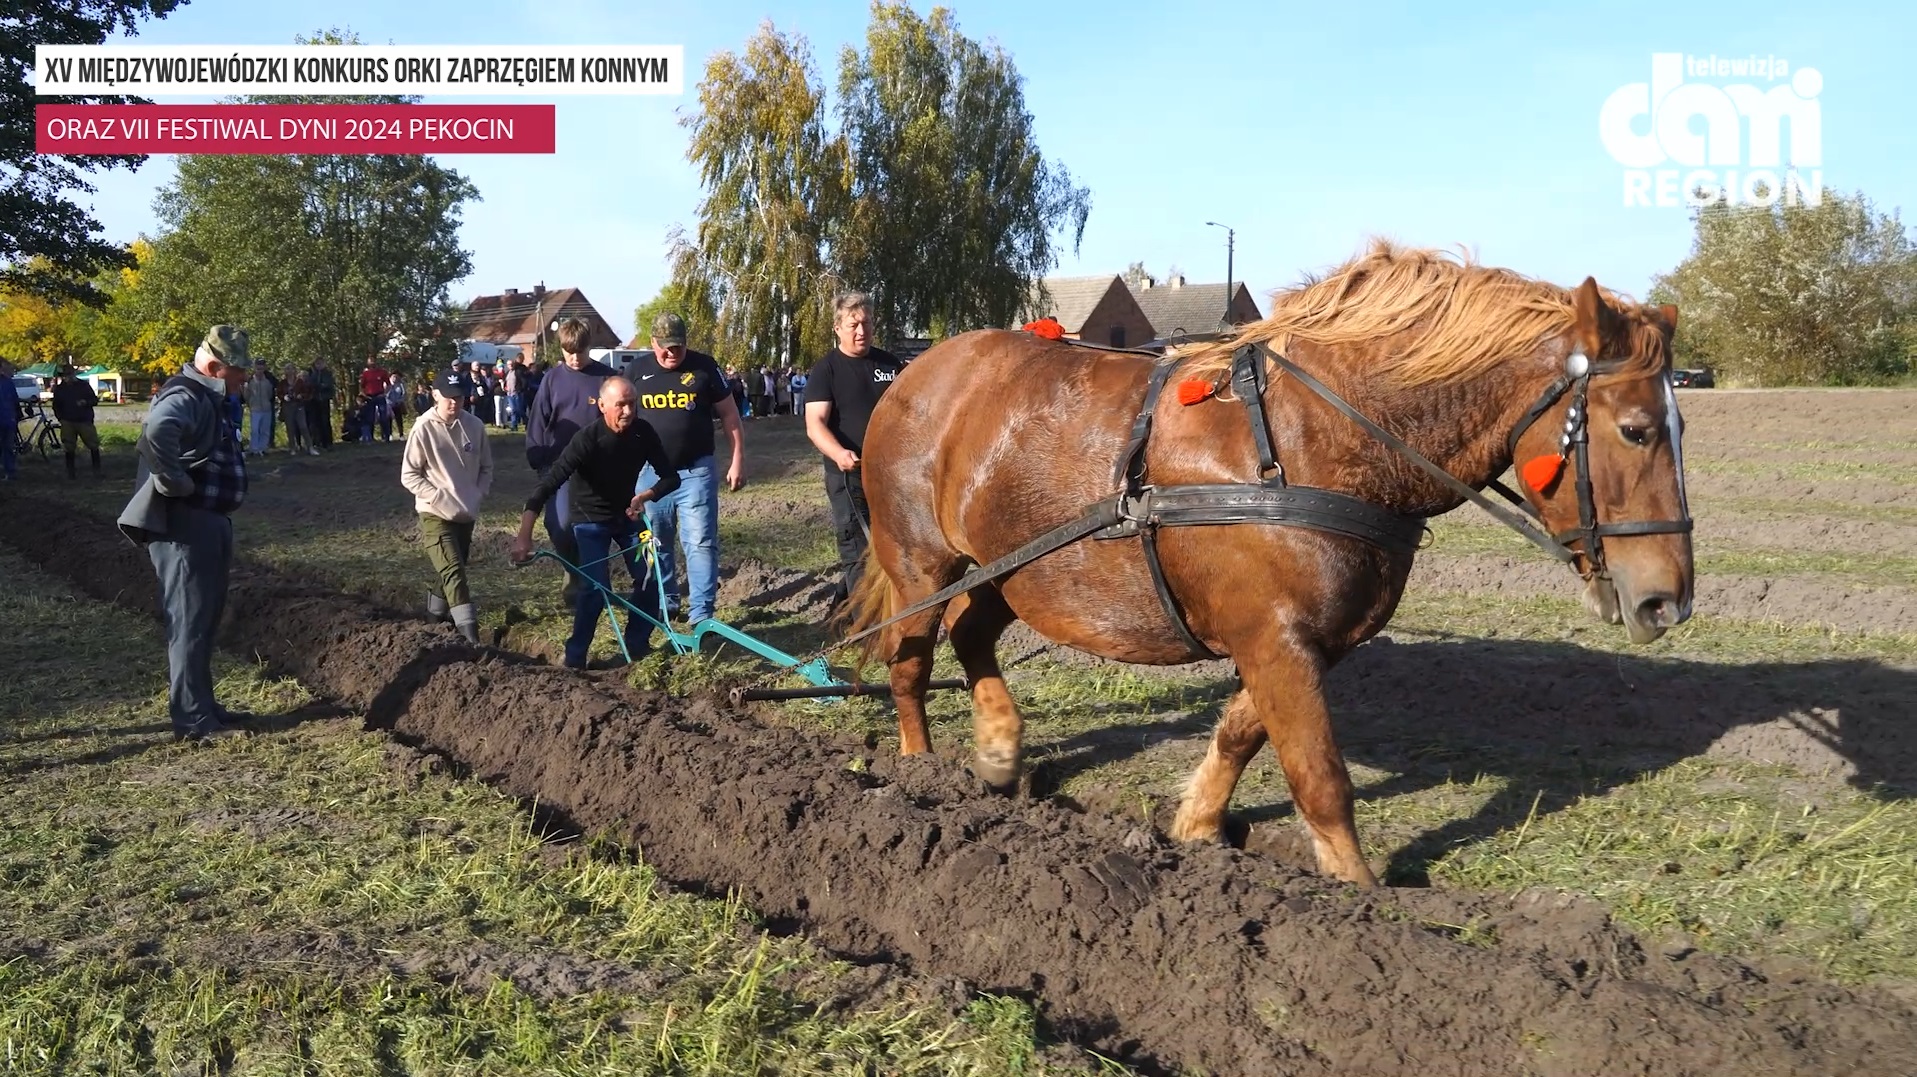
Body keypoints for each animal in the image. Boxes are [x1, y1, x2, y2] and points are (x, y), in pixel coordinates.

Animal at [847, 241, 1702, 881]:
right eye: (1633, 429)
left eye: (1680, 424)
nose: (1667, 599)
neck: (1311, 439)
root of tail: (919, 371)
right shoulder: (1275, 638)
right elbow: (1318, 776)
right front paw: (1357, 896)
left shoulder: (1301, 639)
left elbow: (1240, 733)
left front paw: (1195, 825)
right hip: (922, 561)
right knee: (909, 658)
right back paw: (915, 776)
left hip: (1017, 564)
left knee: (969, 634)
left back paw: (997, 754)